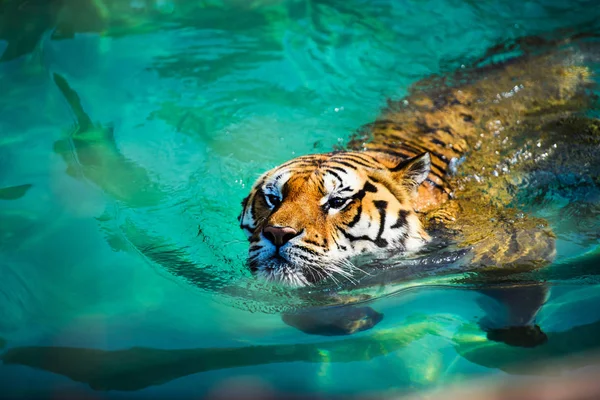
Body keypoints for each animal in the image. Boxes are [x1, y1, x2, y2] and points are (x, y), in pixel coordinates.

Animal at [238, 41, 596, 346]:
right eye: (273, 199)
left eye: (337, 202)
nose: (277, 233)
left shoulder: (517, 241)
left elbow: (520, 286)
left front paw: (516, 330)